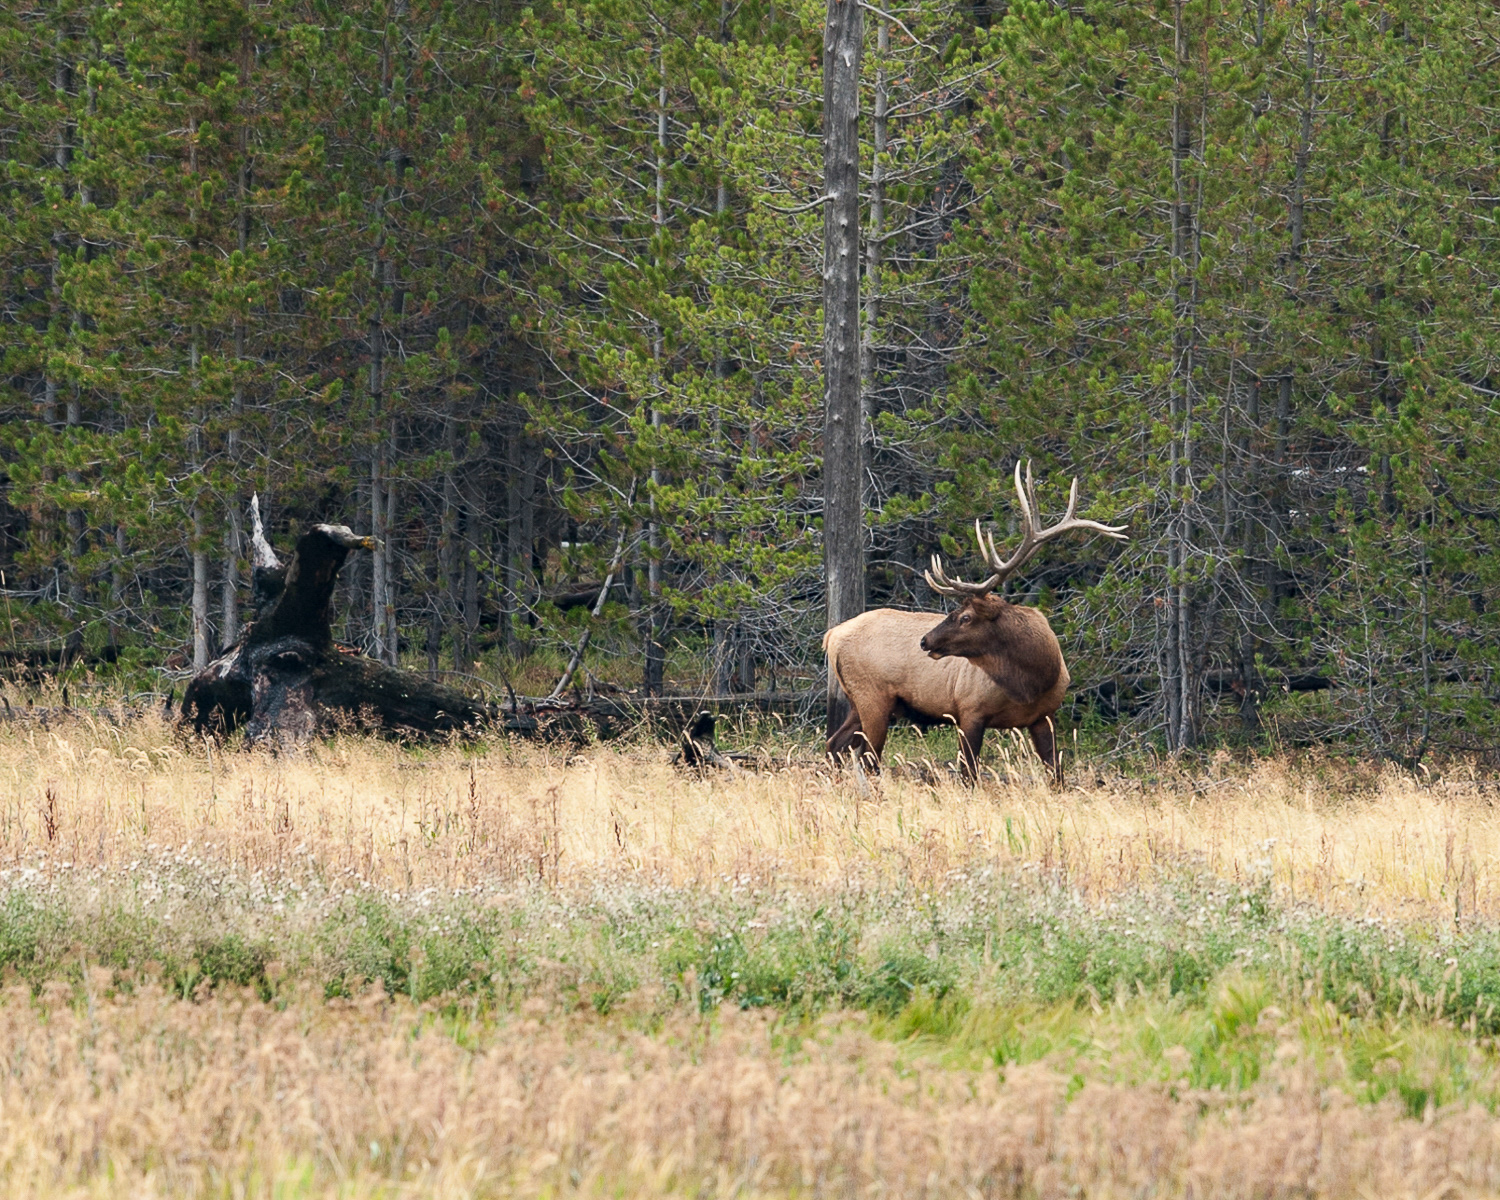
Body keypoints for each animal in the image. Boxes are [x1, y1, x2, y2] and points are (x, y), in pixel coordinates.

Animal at [824, 461, 1127, 785]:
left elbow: (1056, 773)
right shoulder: (969, 710)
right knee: (867, 759)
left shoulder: (1045, 716)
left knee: (835, 746)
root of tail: (832, 636)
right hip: (872, 697)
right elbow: (969, 775)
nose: (925, 640)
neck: (1033, 680)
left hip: (858, 701)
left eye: (966, 617)